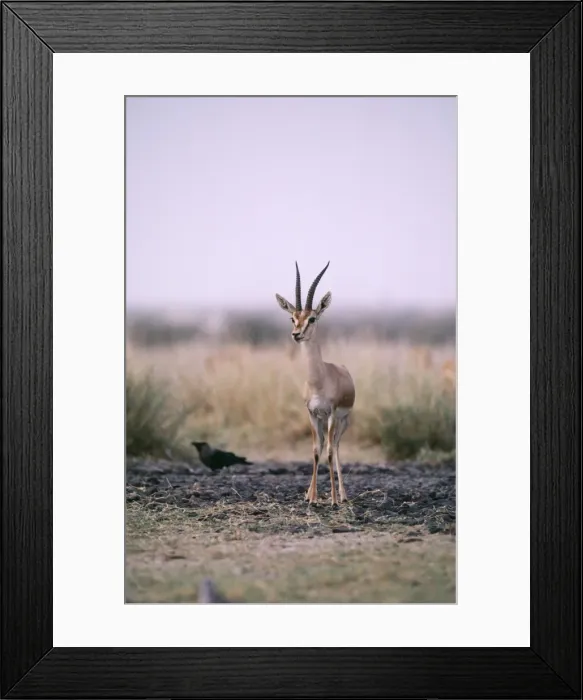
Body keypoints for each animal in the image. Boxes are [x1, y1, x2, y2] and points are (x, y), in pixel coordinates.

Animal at [275, 261, 355, 506]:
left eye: (312, 318)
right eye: (292, 318)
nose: (296, 334)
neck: (319, 381)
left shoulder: (330, 414)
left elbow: (328, 452)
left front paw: (333, 500)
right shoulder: (312, 414)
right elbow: (315, 451)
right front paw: (311, 497)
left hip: (342, 421)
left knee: (335, 446)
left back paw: (342, 495)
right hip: (323, 421)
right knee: (325, 446)